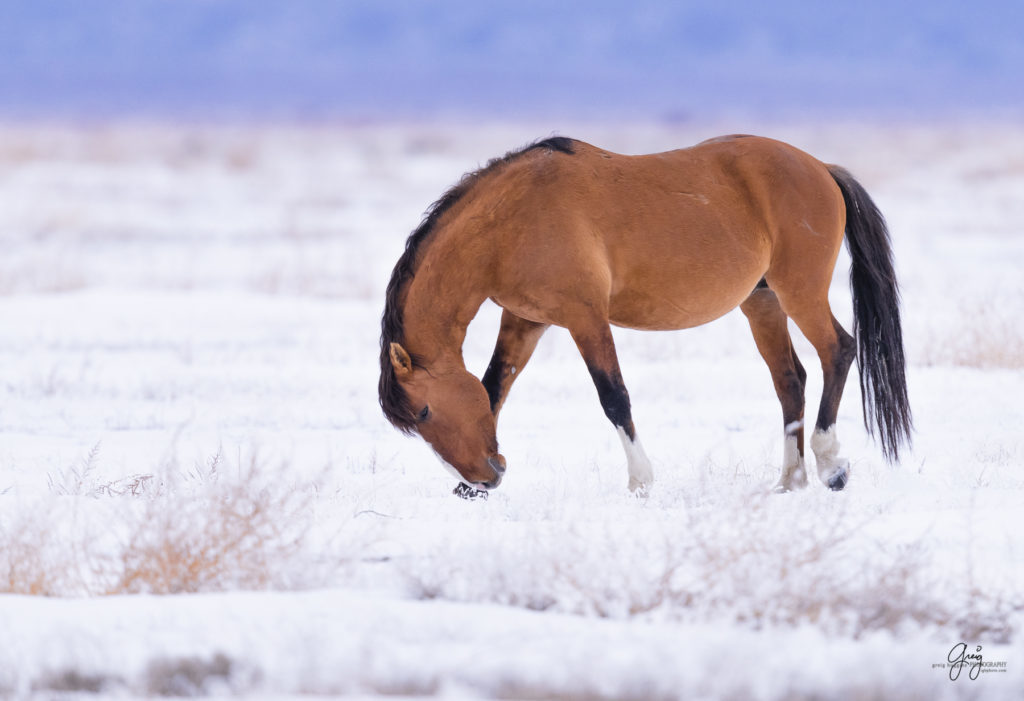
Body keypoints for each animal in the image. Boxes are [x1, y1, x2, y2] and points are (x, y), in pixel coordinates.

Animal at [376, 134, 913, 495]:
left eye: (423, 411)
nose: (487, 477)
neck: (513, 221)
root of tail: (820, 166)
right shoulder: (525, 321)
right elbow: (493, 390)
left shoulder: (585, 318)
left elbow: (614, 398)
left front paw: (641, 482)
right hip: (761, 303)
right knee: (790, 380)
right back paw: (790, 480)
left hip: (799, 292)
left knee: (838, 350)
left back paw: (831, 466)